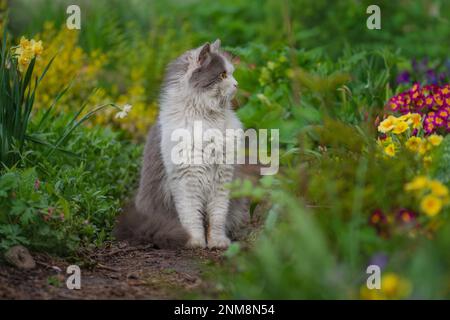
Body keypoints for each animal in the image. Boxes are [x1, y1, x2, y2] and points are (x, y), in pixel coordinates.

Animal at [115, 40, 250, 249]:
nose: (237, 84)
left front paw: (217, 242)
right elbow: (191, 216)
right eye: (222, 75)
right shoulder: (186, 178)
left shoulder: (222, 176)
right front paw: (195, 242)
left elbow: (217, 217)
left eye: (232, 73)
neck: (207, 118)